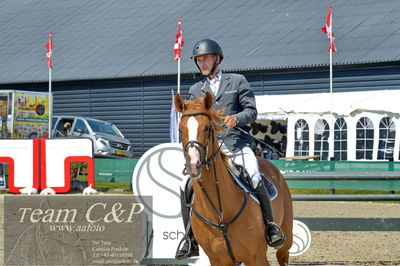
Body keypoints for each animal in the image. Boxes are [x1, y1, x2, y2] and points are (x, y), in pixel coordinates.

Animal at [175, 92, 294, 266]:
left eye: (207, 127)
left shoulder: (257, 257)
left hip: (285, 242)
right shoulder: (217, 260)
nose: (193, 166)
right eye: (180, 130)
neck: (220, 213)